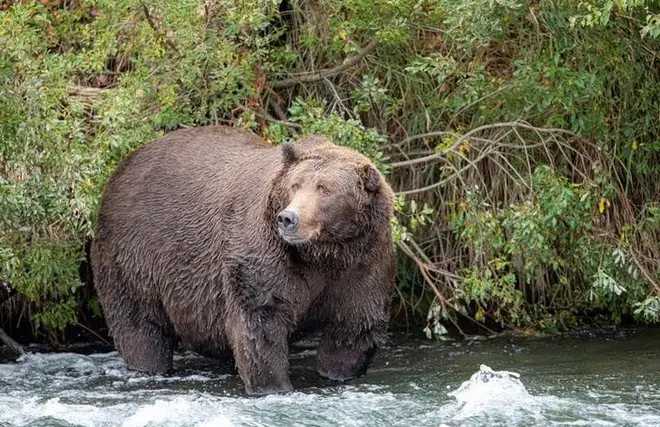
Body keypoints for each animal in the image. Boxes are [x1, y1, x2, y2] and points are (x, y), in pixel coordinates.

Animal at [91, 126, 395, 395]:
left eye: (325, 188)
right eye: (295, 185)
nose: (288, 218)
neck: (323, 253)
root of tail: (122, 166)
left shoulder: (363, 263)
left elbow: (353, 326)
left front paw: (337, 372)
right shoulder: (267, 254)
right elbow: (261, 322)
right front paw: (273, 386)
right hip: (134, 255)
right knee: (140, 324)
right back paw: (148, 365)